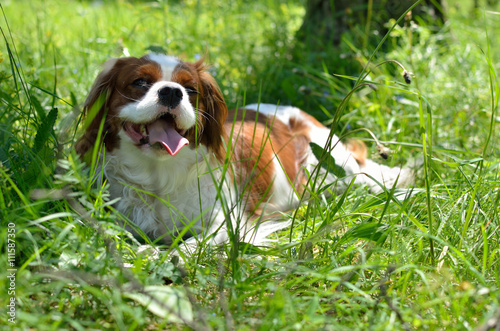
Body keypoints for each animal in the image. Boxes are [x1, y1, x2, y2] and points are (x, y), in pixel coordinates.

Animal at [74, 53, 410, 248]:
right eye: (140, 82)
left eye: (191, 89)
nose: (172, 92)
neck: (159, 173)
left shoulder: (225, 224)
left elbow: (186, 248)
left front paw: (156, 257)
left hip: (336, 165)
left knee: (368, 177)